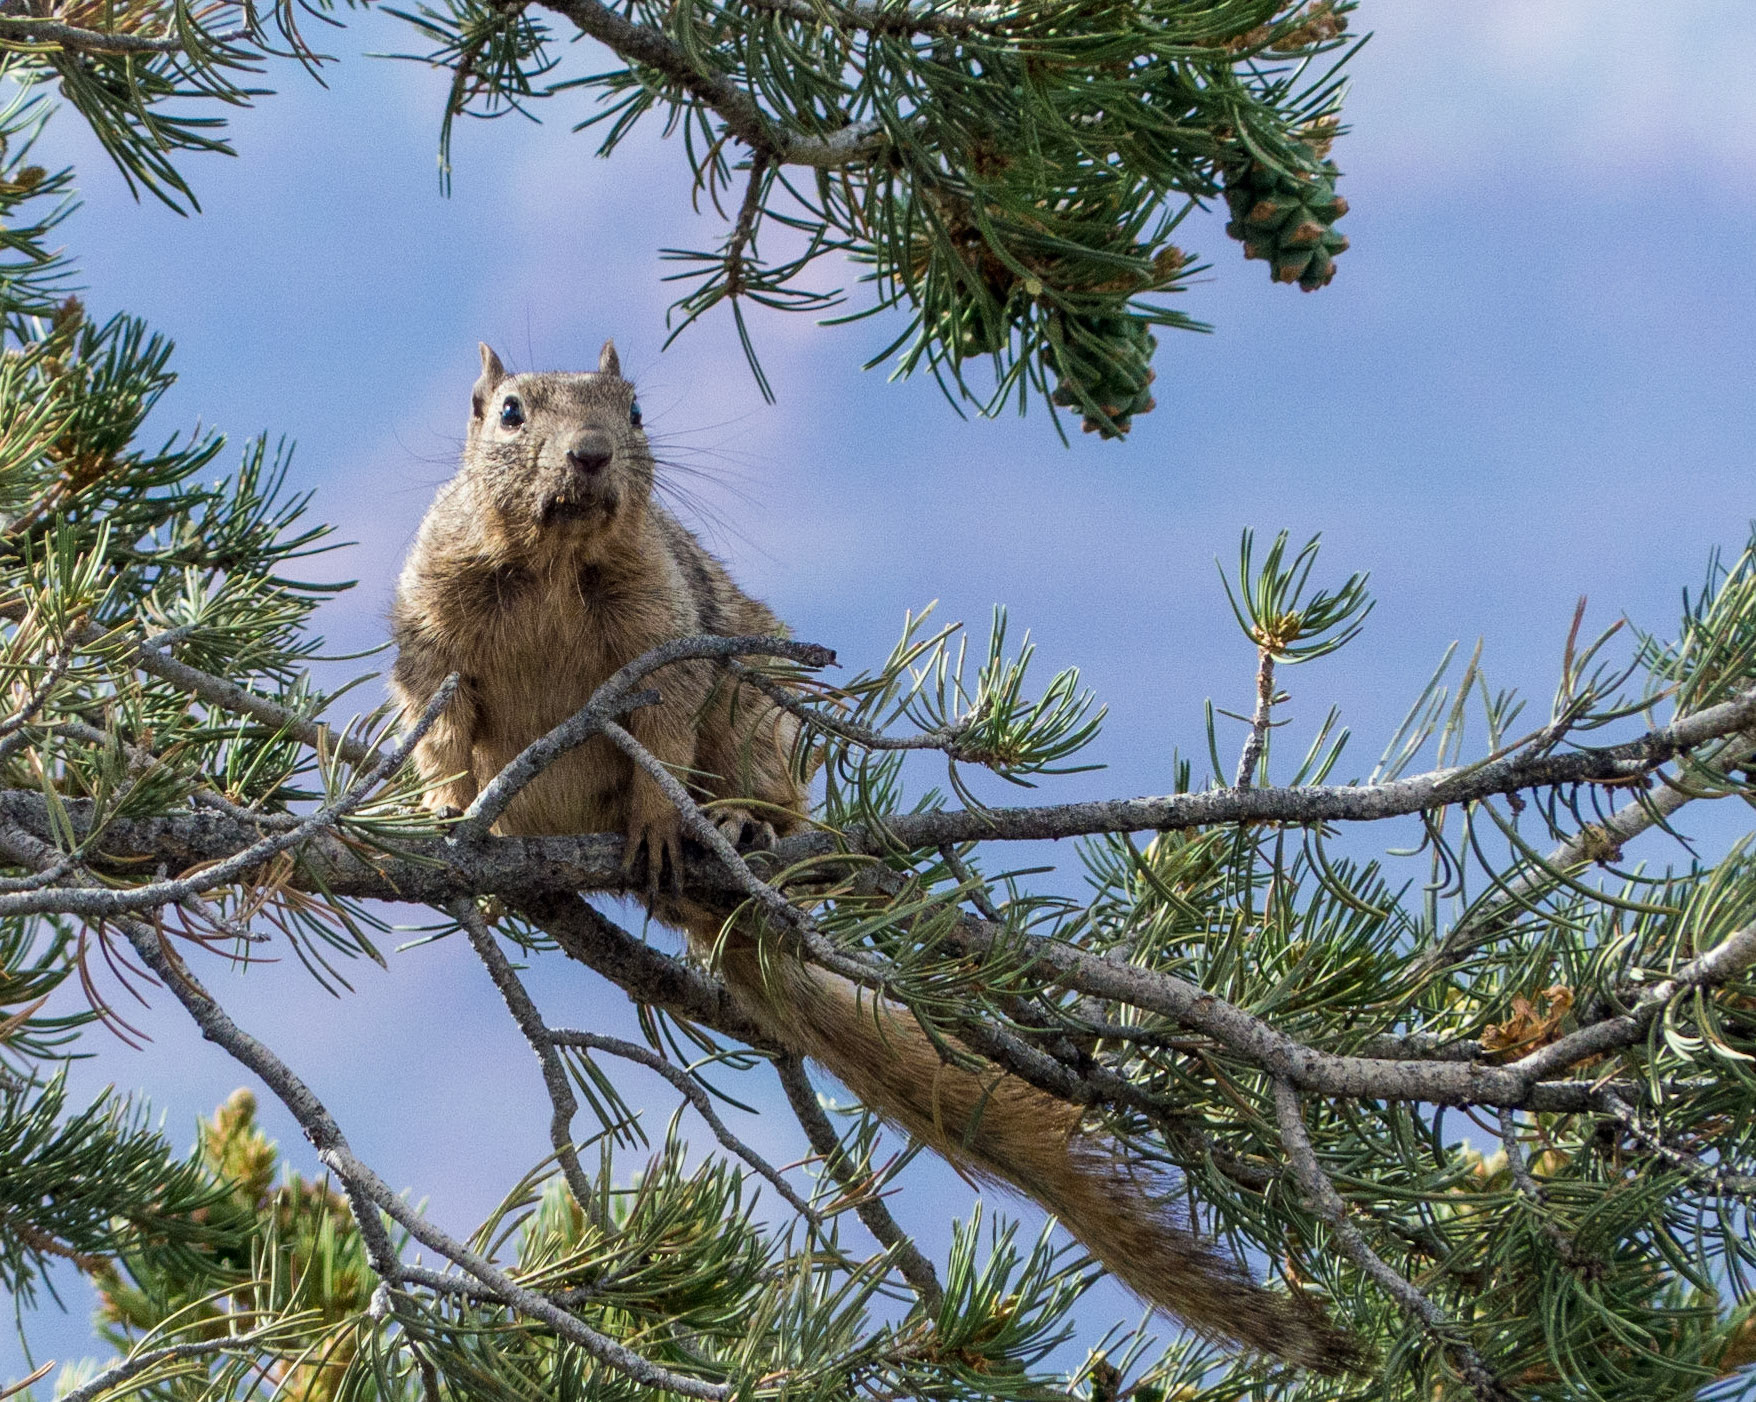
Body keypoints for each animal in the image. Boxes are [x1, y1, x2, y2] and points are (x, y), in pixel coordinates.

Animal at [388, 341, 1360, 1374]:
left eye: (636, 411)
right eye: (509, 412)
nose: (590, 454)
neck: (553, 563)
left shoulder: (669, 630)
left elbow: (664, 723)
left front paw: (657, 821)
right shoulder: (432, 631)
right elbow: (439, 721)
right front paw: (448, 808)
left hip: (756, 715)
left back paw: (738, 833)